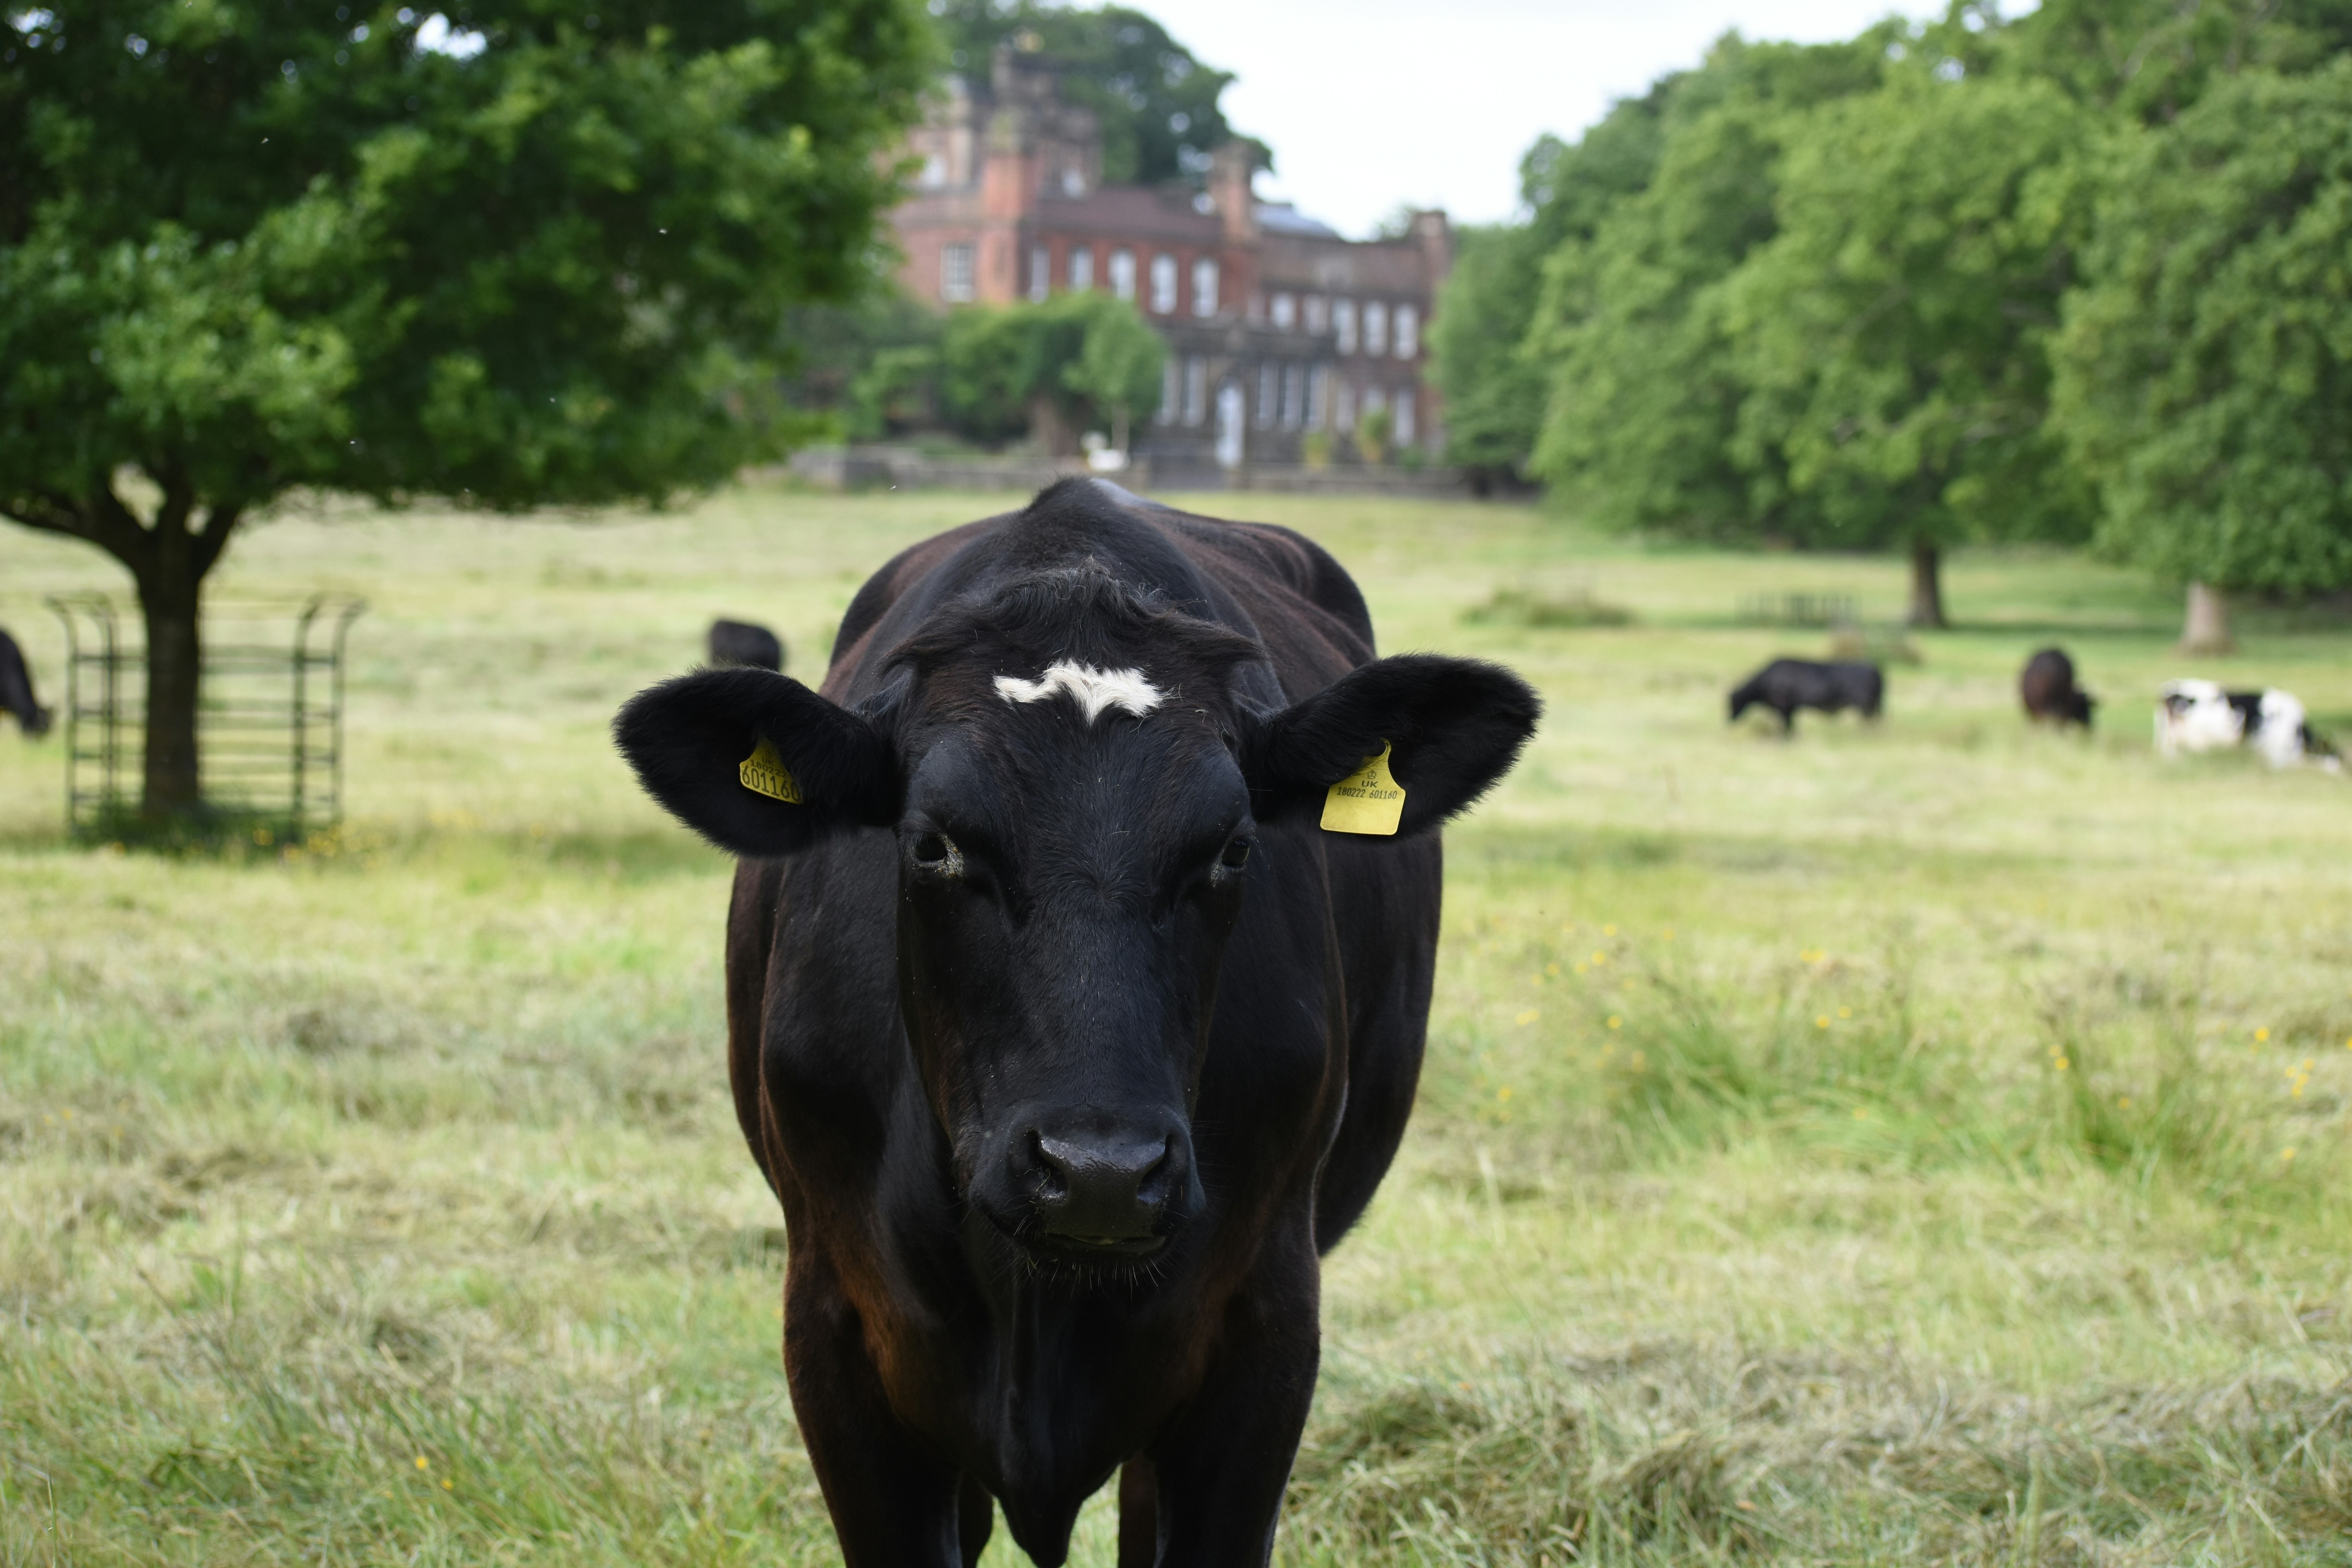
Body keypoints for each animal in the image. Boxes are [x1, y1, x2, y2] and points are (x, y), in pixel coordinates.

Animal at [1727, 657, 1883, 733]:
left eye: (1733, 703)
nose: (1729, 721)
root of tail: (1874, 669)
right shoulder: (1791, 709)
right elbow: (1791, 726)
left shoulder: (1783, 708)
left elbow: (1785, 727)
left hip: (1866, 707)